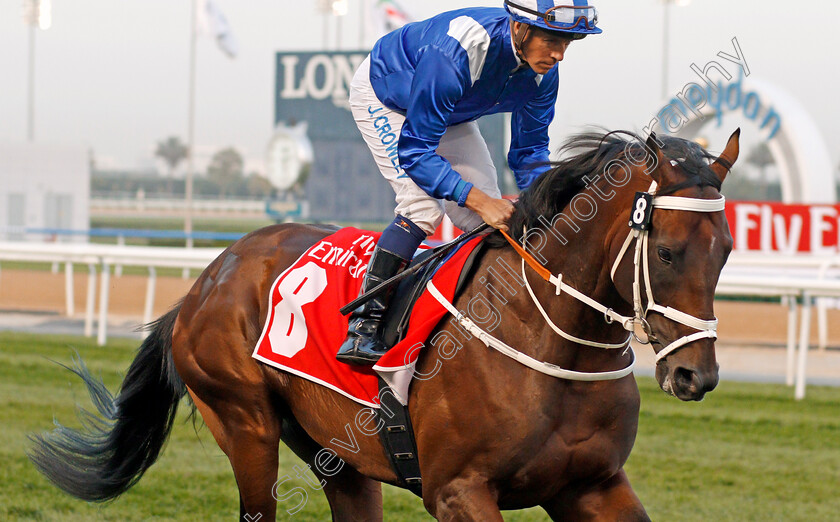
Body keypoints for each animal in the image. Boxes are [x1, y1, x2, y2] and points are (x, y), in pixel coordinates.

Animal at [31, 128, 740, 516]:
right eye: (668, 251)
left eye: (728, 249)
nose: (695, 375)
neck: (552, 349)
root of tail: (207, 278)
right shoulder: (459, 490)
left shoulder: (591, 484)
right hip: (244, 424)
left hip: (334, 453)